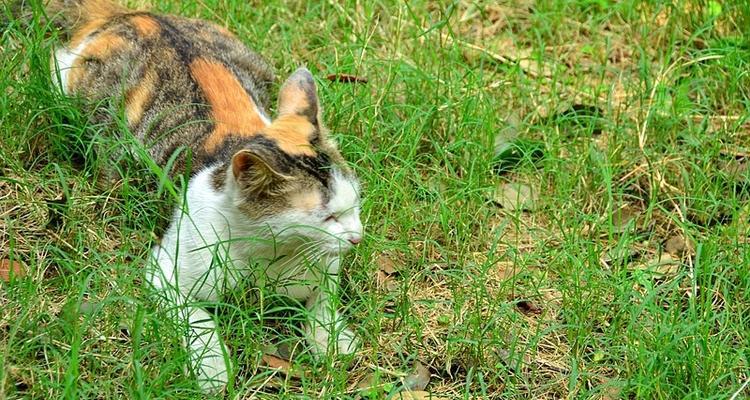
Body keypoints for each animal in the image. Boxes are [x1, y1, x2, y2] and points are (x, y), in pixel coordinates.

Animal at [46, 0, 364, 392]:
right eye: (328, 217)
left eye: (355, 205)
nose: (358, 237)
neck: (271, 255)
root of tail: (139, 15)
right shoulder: (164, 271)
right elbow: (195, 316)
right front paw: (212, 366)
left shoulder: (326, 264)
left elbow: (324, 297)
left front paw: (331, 337)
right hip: (63, 84)